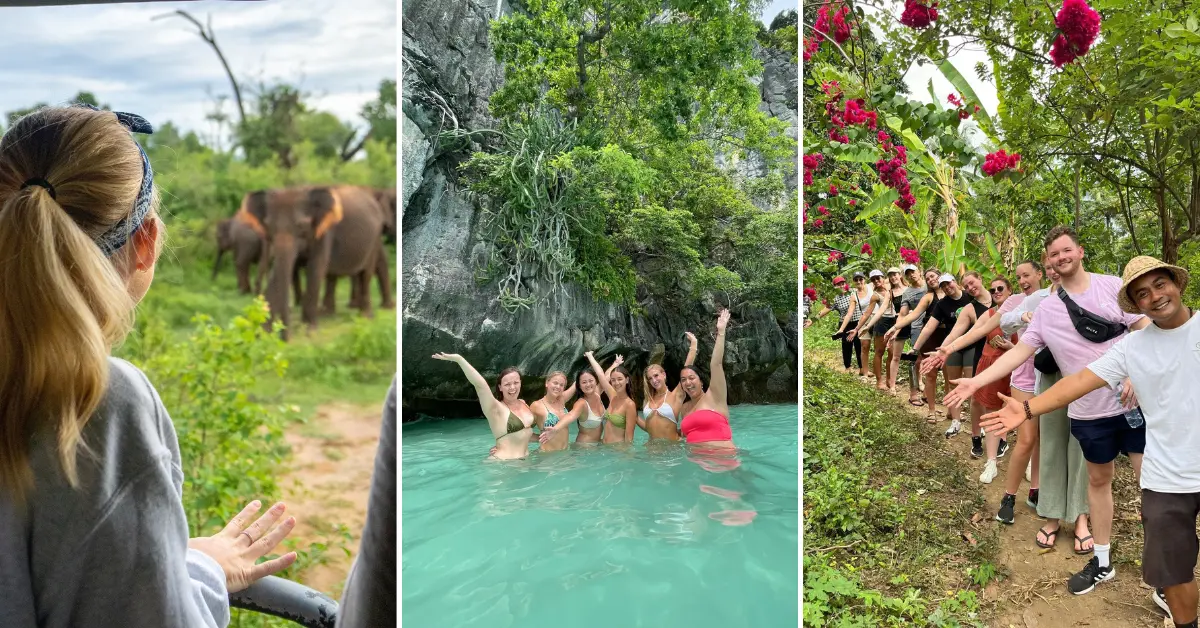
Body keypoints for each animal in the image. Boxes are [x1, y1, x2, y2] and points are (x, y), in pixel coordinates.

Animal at [248, 186, 384, 341]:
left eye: (301, 225)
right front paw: (261, 333)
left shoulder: (324, 232)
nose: (287, 338)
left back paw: (365, 317)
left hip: (375, 239)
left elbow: (315, 270)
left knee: (365, 275)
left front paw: (310, 332)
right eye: (268, 226)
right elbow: (278, 273)